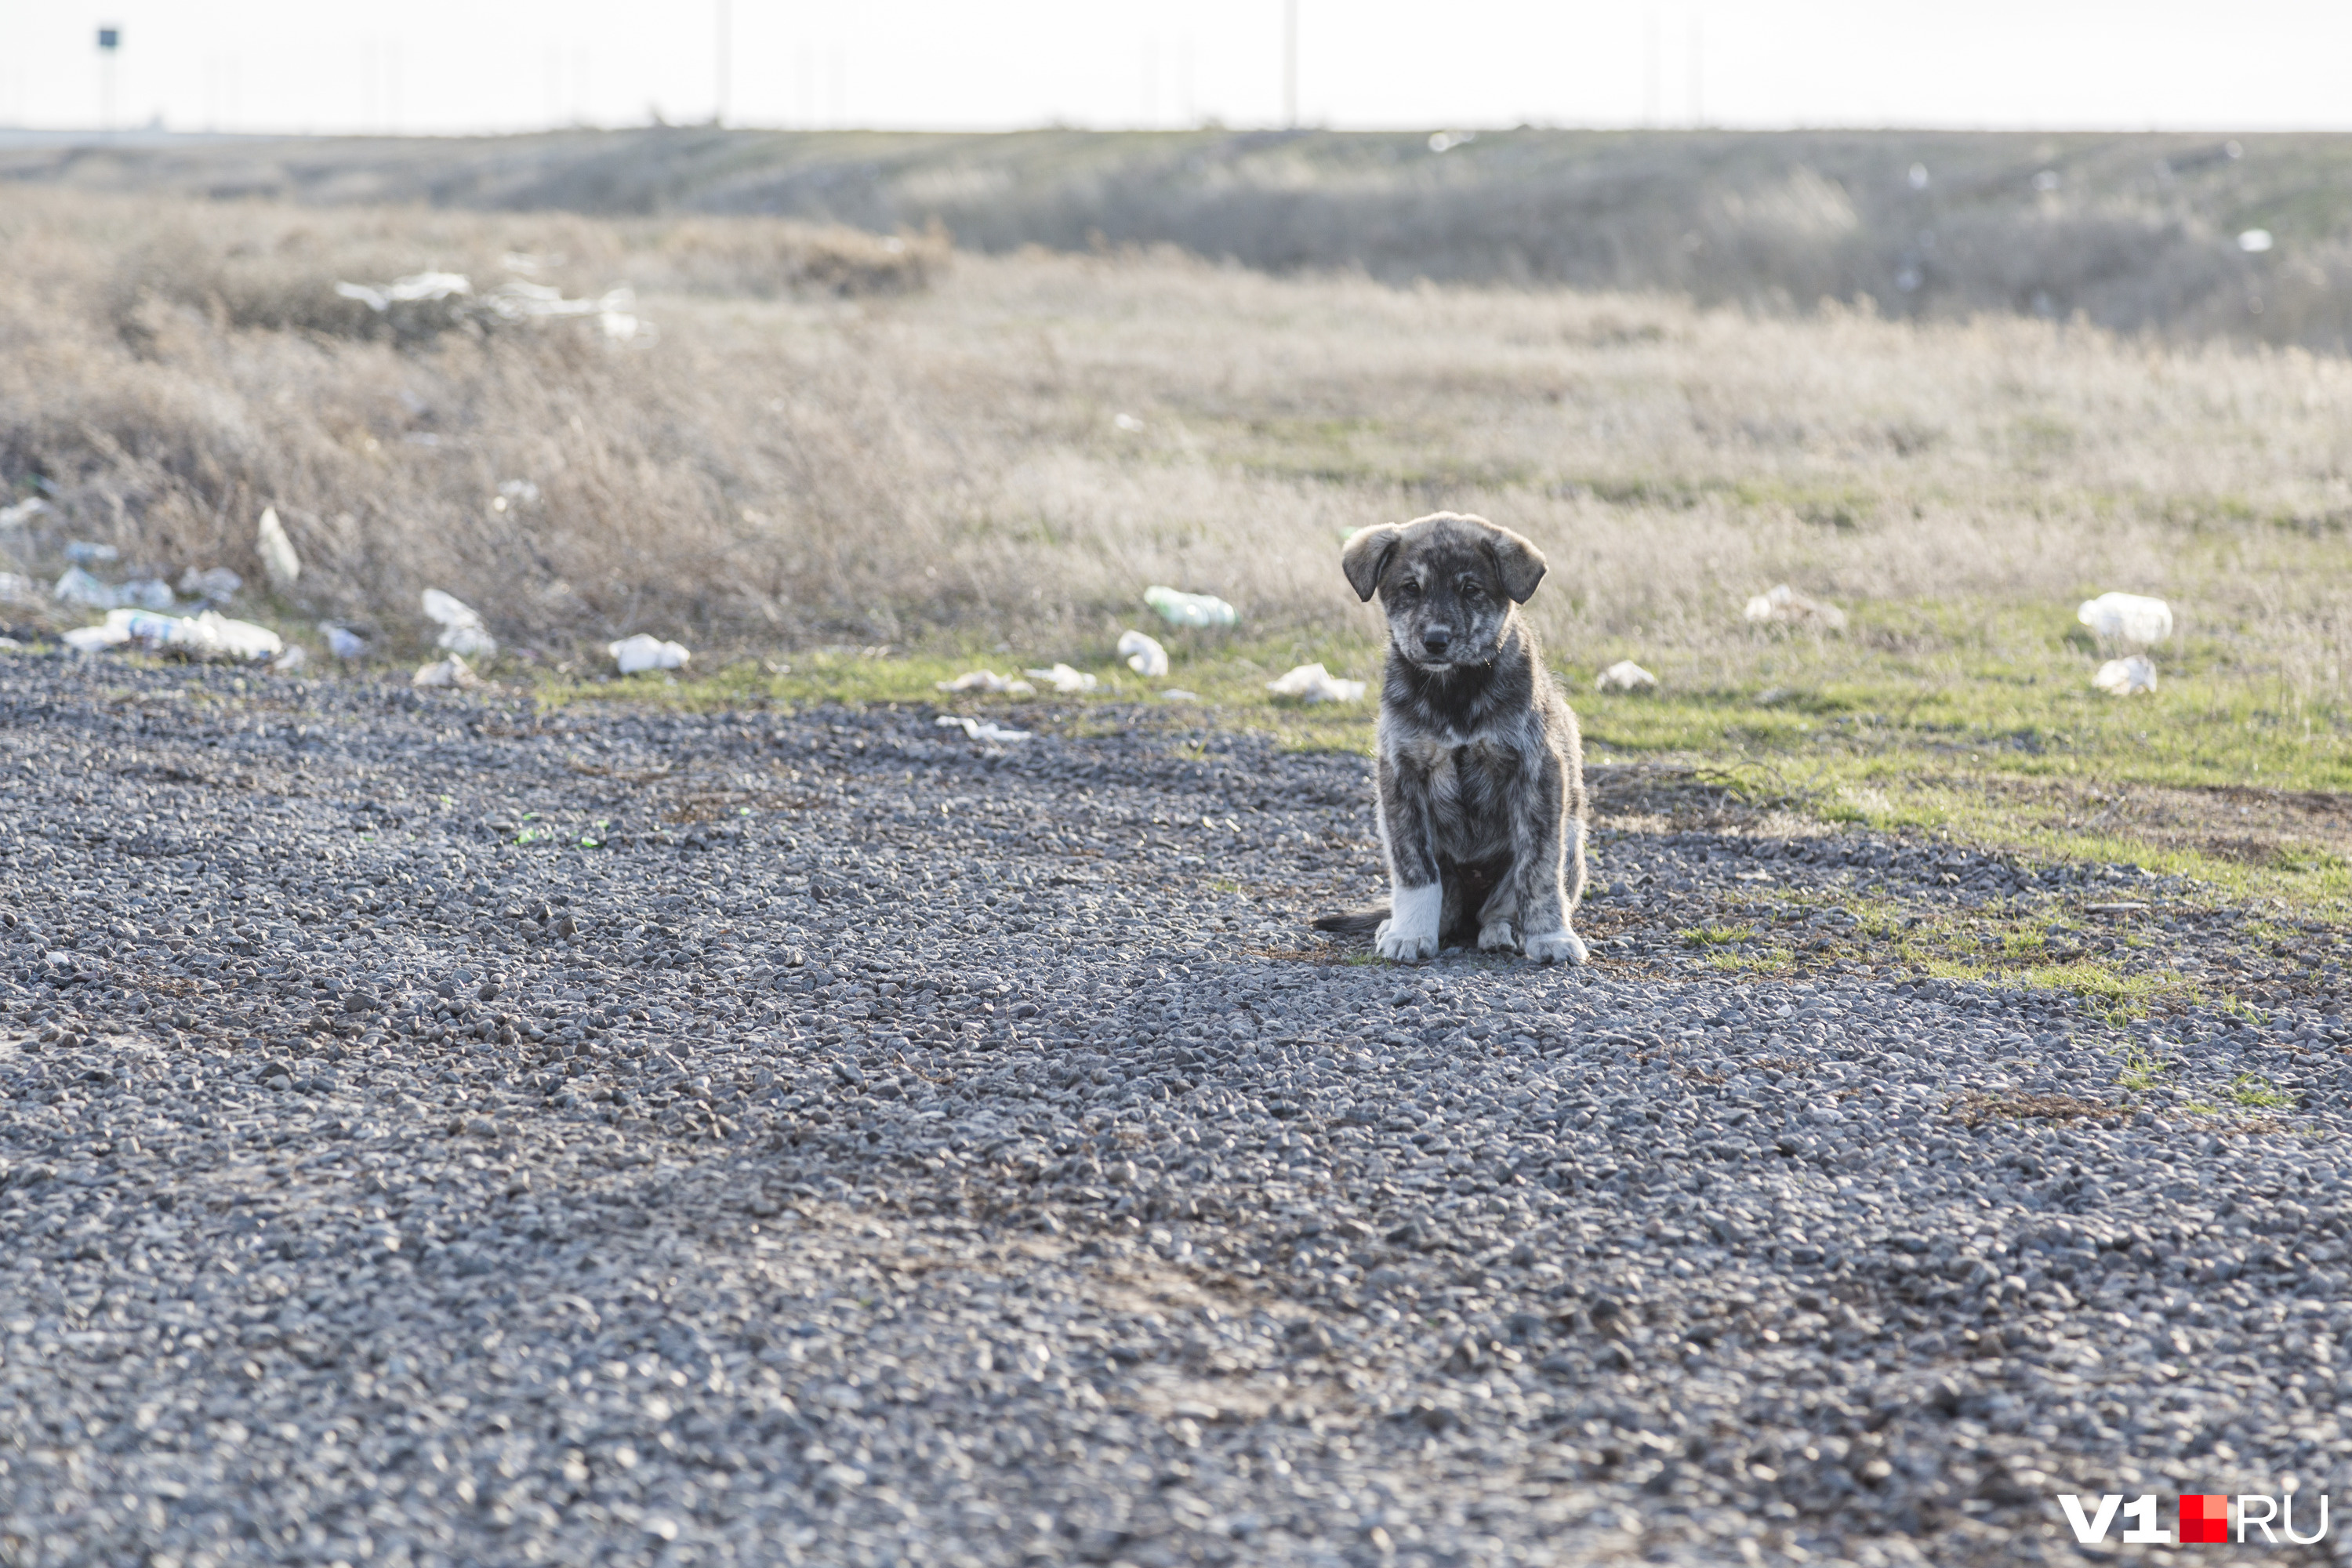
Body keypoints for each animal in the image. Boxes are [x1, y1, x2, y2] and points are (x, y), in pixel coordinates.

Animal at [1317, 510, 1590, 964]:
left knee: (1498, 907)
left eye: (1471, 590)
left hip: (1571, 837)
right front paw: (1411, 933)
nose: (1435, 641)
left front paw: (1551, 937)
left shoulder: (1538, 772)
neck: (1454, 693)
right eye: (1411, 587)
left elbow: (1537, 870)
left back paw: (1505, 931)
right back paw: (1397, 924)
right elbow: (1416, 871)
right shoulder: (1401, 773)